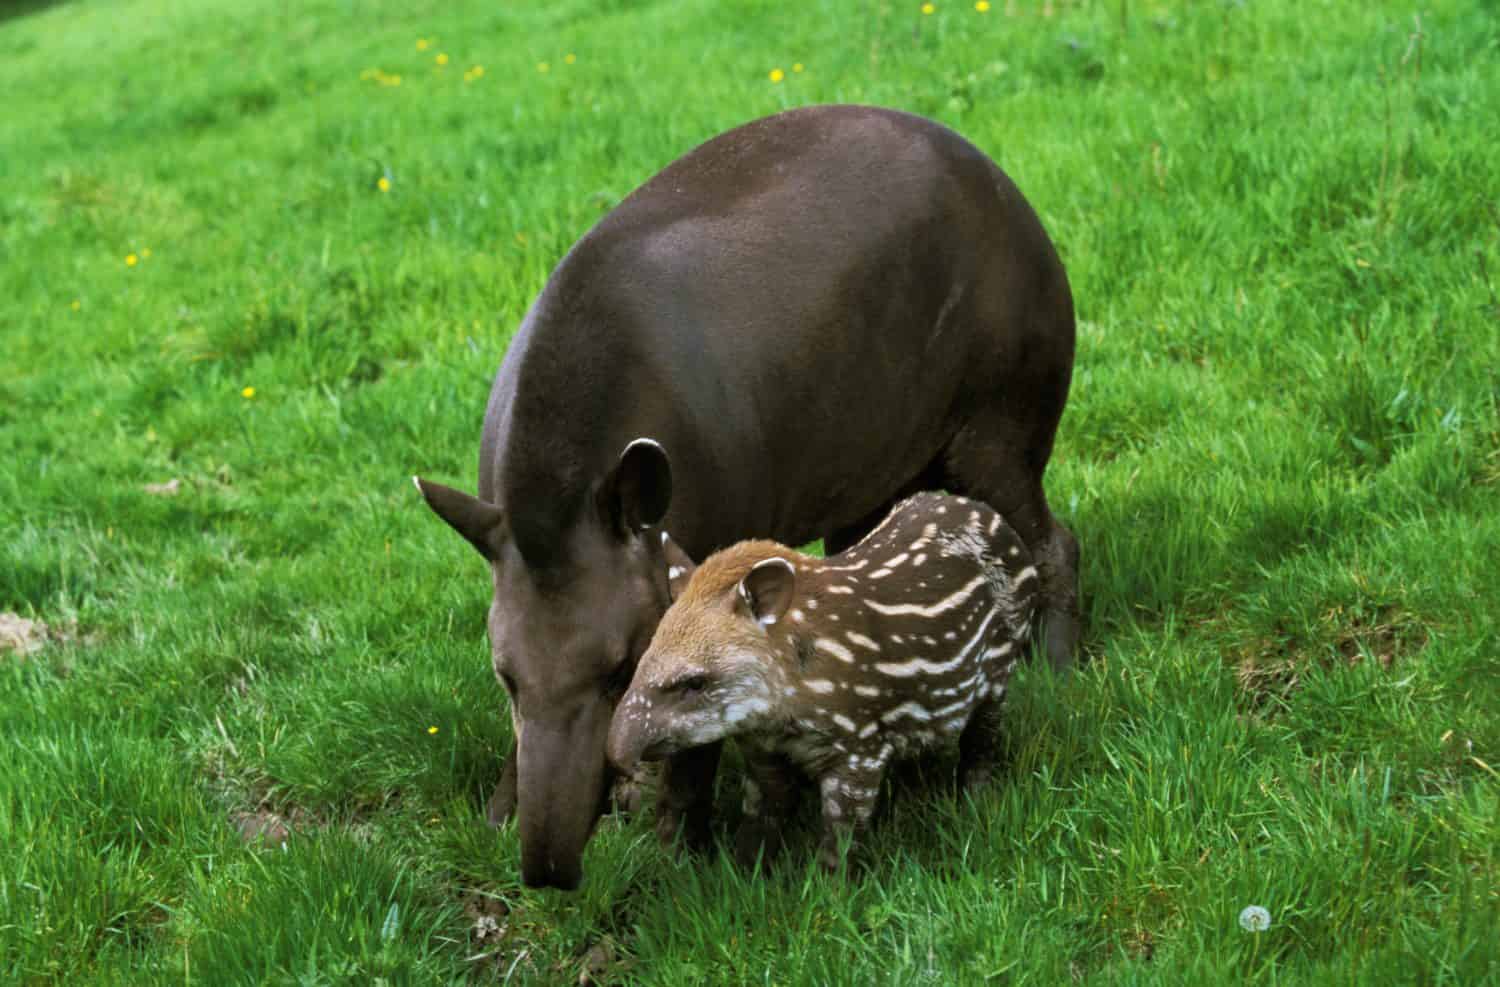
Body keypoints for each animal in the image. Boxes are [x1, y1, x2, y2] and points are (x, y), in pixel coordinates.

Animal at [603, 492, 1038, 870]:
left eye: (695, 682)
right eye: (642, 660)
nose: (617, 753)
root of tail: (1001, 522)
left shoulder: (861, 748)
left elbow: (841, 833)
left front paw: (834, 890)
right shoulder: (763, 748)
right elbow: (762, 813)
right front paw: (744, 871)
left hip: (1000, 672)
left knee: (982, 739)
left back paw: (975, 801)